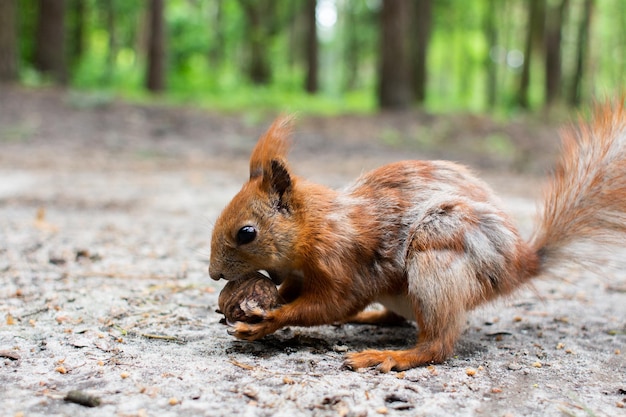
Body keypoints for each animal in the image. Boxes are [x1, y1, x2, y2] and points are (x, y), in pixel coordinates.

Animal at [208, 101, 624, 370]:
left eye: (247, 233)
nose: (214, 274)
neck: (314, 226)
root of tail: (521, 264)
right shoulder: (298, 273)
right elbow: (300, 294)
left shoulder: (342, 259)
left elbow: (335, 303)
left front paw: (269, 319)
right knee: (395, 320)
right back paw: (371, 320)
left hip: (435, 260)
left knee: (438, 343)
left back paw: (392, 356)